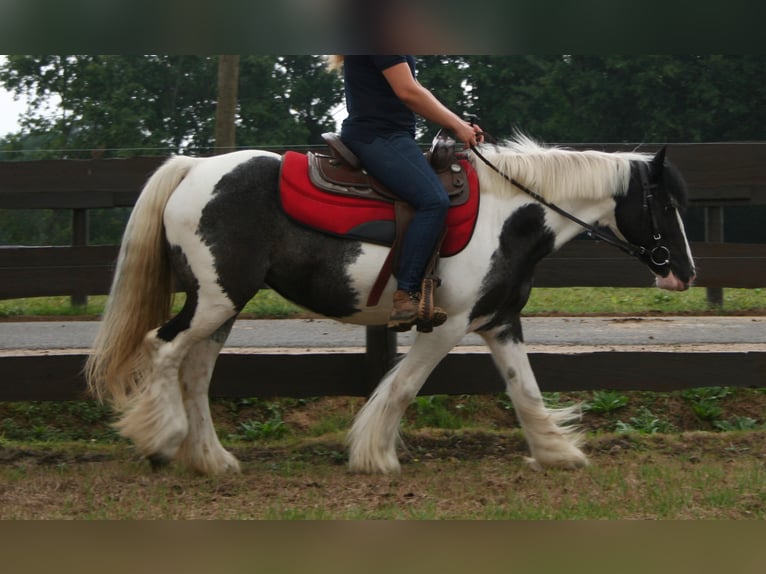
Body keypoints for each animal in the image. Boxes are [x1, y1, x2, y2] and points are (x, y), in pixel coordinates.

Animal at [84, 135, 696, 476]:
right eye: (665, 202)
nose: (685, 272)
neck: (509, 217)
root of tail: (194, 168)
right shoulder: (445, 326)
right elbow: (402, 388)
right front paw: (374, 456)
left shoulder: (499, 323)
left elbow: (525, 391)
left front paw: (557, 453)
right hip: (214, 301)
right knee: (163, 350)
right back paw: (162, 442)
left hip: (222, 307)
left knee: (196, 374)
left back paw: (213, 461)